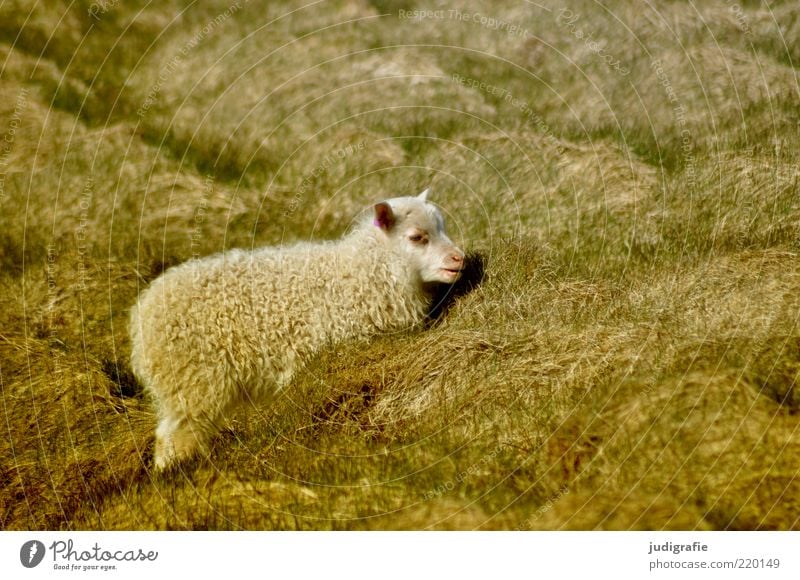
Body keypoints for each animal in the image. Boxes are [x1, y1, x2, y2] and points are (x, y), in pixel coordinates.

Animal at [129, 188, 466, 468]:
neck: (363, 272)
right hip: (194, 379)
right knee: (176, 436)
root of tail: (143, 315)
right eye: (417, 237)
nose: (458, 259)